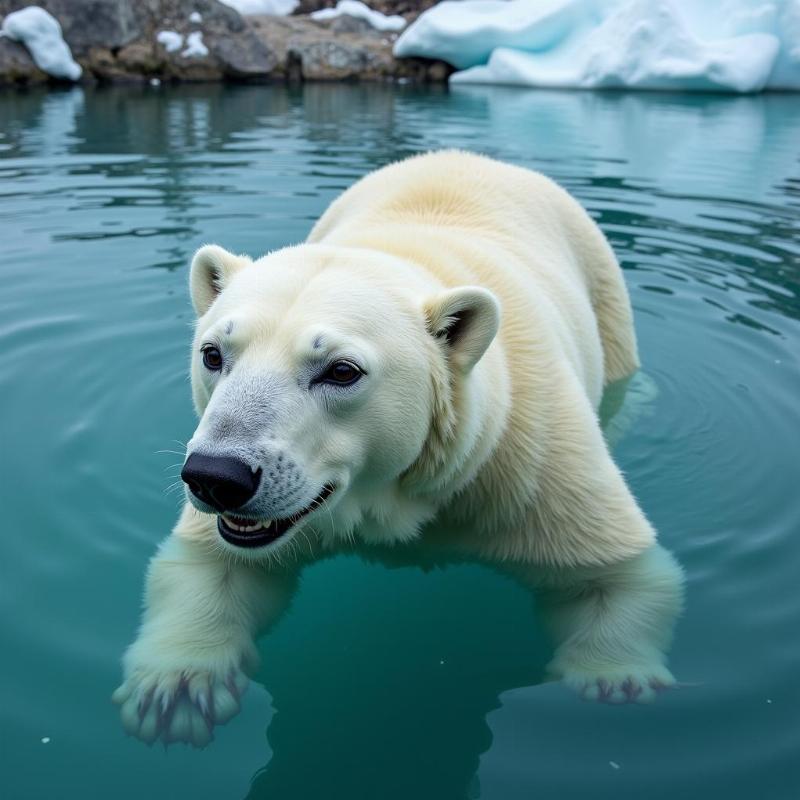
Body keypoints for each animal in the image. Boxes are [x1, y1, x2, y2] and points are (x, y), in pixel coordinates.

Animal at [115, 153, 684, 748]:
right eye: (213, 353)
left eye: (342, 370)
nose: (217, 476)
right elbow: (211, 562)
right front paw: (175, 688)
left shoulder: (527, 455)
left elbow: (615, 571)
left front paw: (615, 686)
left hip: (603, 290)